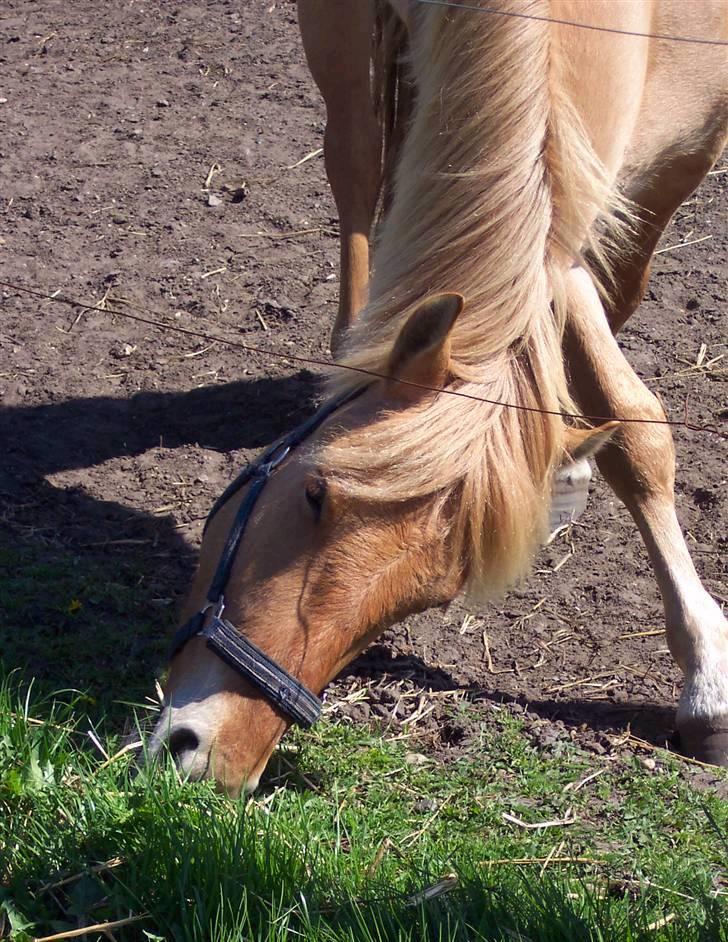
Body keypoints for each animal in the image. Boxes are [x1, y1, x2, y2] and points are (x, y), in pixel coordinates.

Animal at [149, 1, 728, 796]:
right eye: (314, 495)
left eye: (426, 599)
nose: (207, 756)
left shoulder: (672, 147)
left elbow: (628, 409)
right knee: (356, 156)